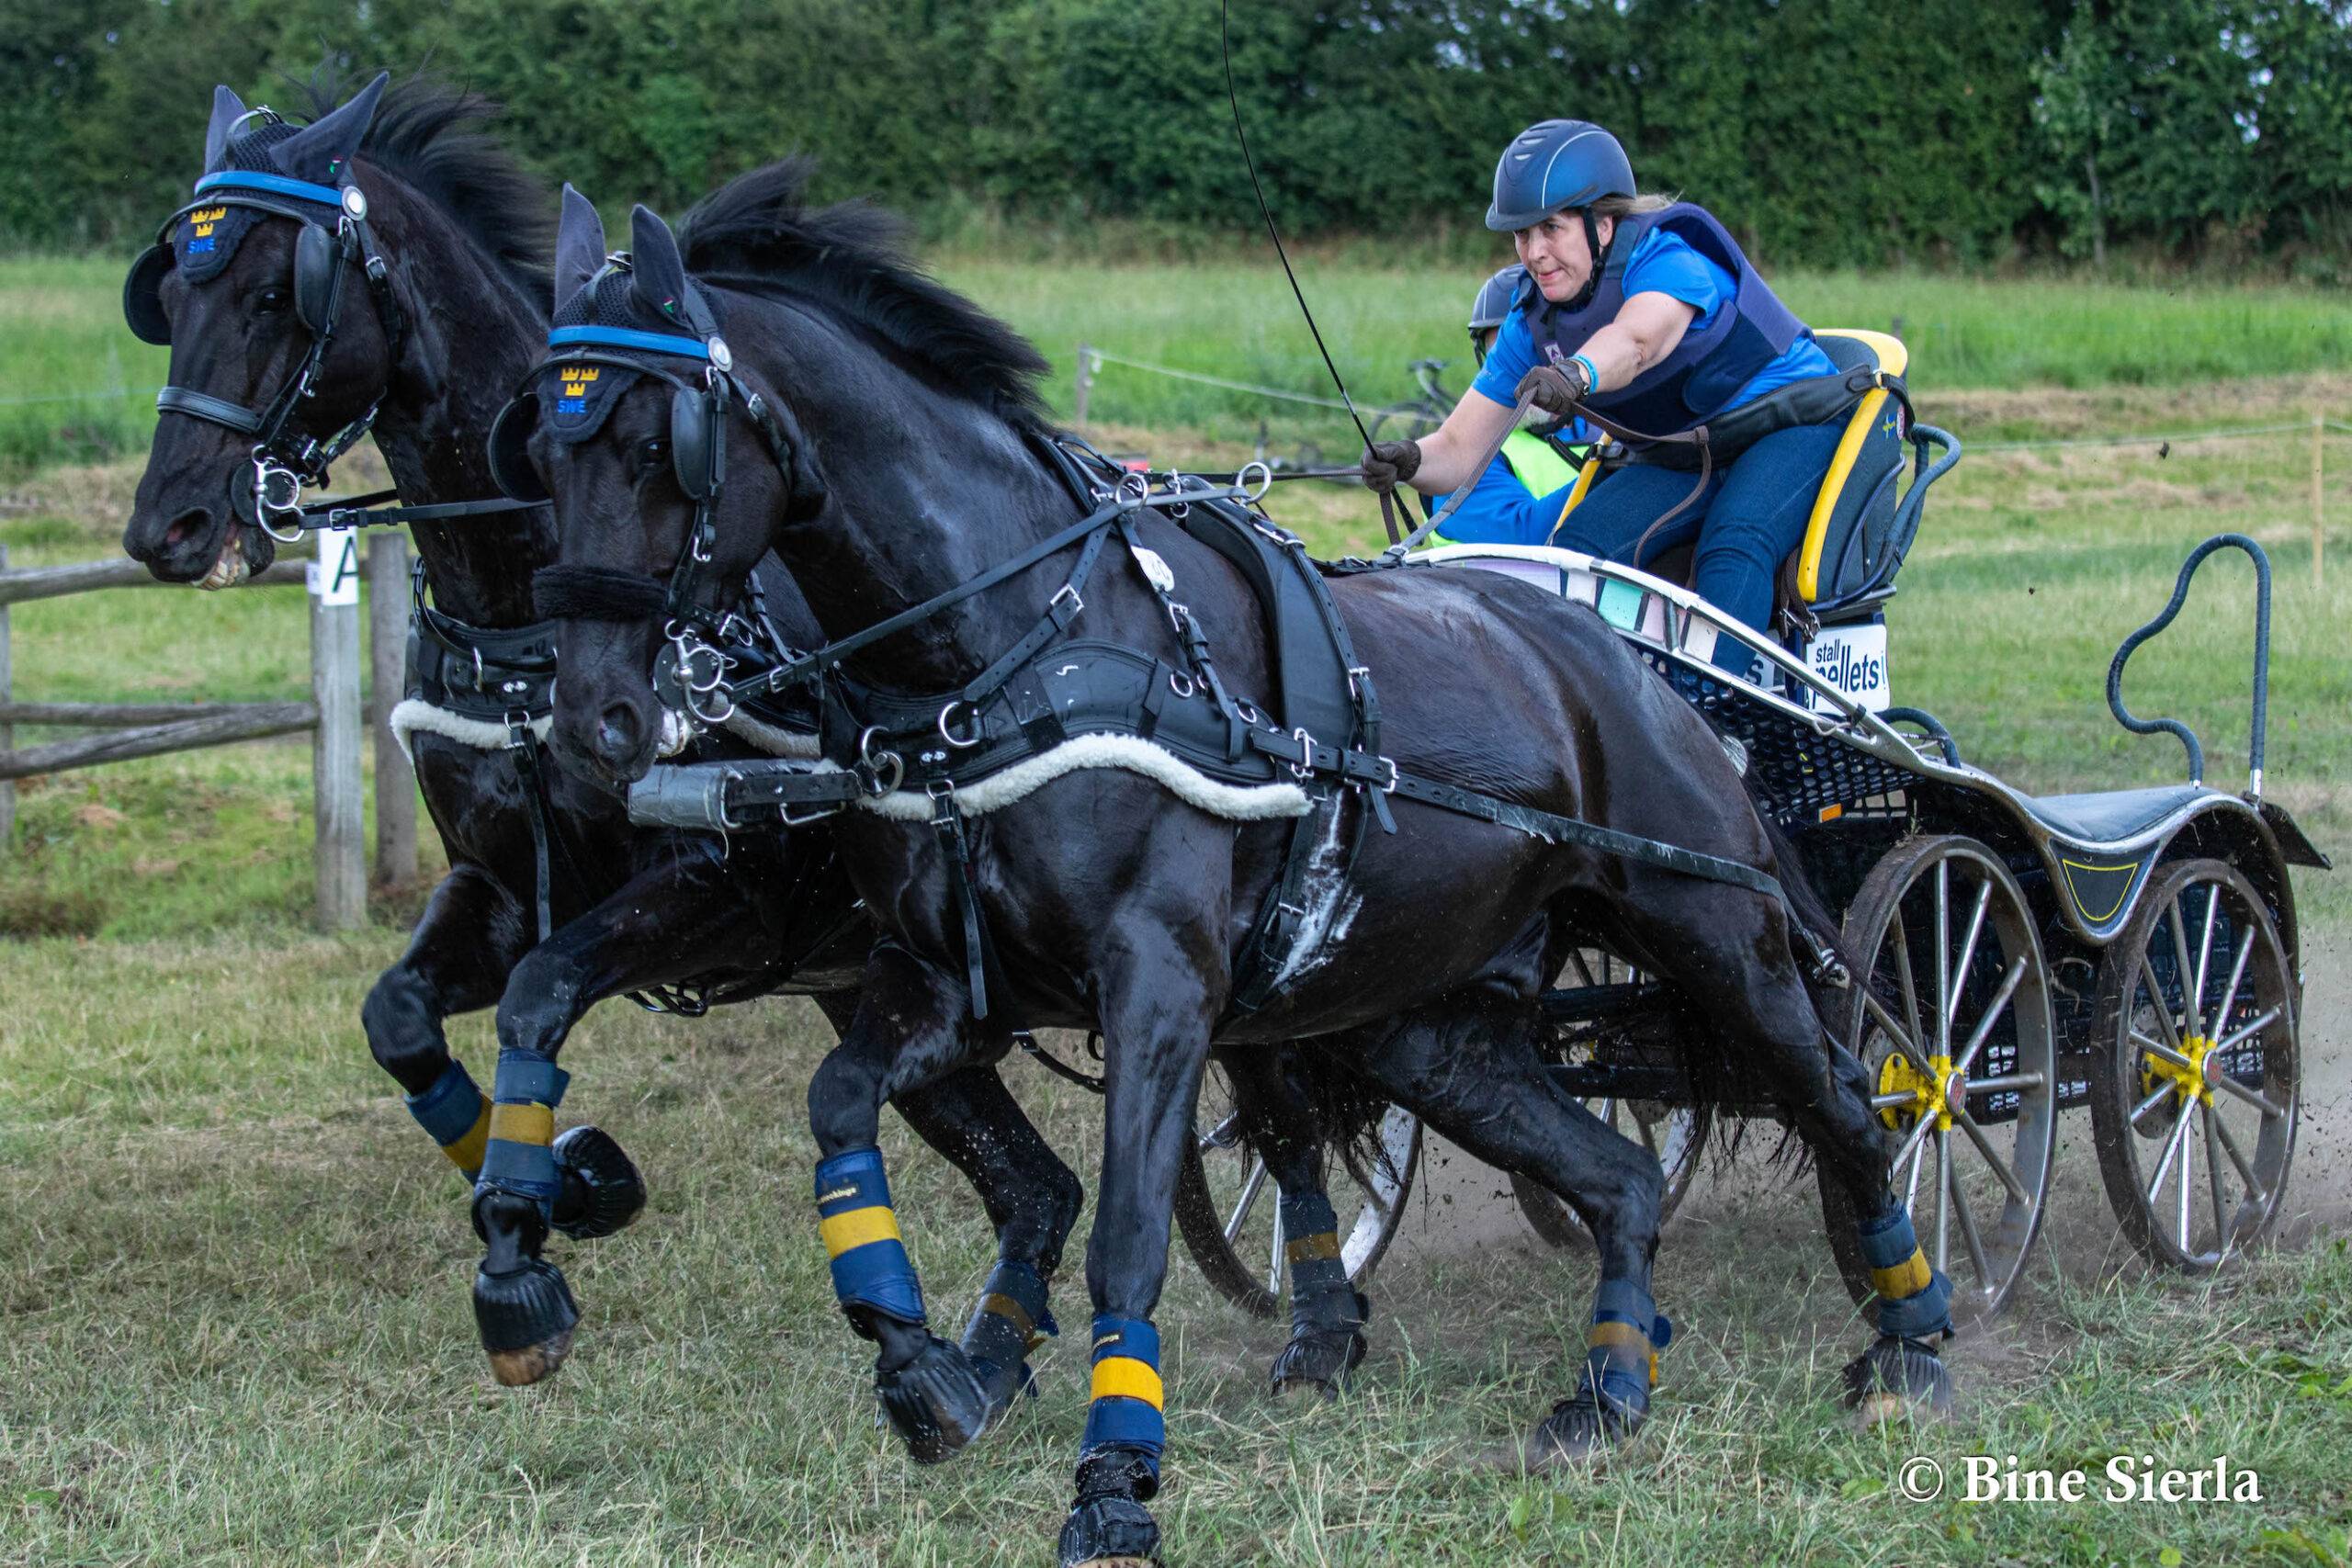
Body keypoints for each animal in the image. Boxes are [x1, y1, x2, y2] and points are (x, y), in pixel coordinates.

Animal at [117, 73, 1081, 1419]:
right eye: (170, 295)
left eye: (273, 292)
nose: (170, 523)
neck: (531, 615)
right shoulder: (499, 882)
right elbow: (399, 1014)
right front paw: (565, 1180)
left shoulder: (723, 897)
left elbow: (537, 994)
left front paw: (522, 1257)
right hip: (887, 986)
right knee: (1037, 1184)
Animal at [519, 165, 1966, 1561]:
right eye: (535, 447)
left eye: (656, 445)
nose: (595, 715)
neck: (1021, 642)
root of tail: (1631, 660)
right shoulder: (944, 982)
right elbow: (838, 1107)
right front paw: (918, 1361)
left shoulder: (1159, 990)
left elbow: (1126, 1240)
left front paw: (1114, 1481)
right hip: (1430, 1026)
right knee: (1618, 1173)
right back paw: (1610, 1383)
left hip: (1718, 935)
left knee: (1846, 1099)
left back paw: (1910, 1332)